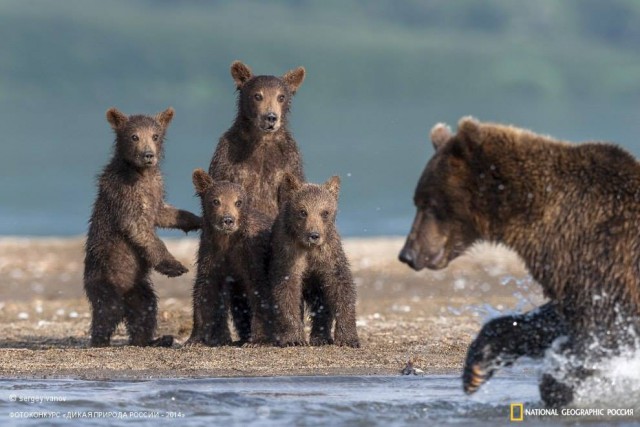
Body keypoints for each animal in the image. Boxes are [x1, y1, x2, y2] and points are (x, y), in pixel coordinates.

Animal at [400, 117, 640, 408]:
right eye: (417, 200)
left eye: (429, 203)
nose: (408, 254)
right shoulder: (572, 269)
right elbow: (551, 318)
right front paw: (477, 368)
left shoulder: (602, 255)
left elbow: (605, 329)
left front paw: (557, 385)